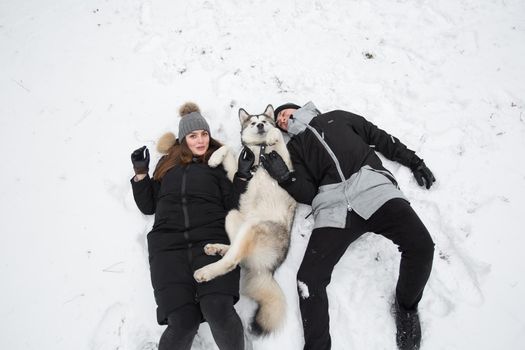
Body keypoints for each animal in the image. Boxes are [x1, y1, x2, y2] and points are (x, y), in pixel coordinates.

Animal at [193, 104, 298, 336]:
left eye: (264, 121)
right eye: (252, 122)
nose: (260, 126)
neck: (259, 155)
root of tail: (268, 270)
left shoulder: (284, 160)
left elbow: (278, 138)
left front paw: (272, 136)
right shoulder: (240, 172)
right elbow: (229, 151)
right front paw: (214, 158)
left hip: (253, 226)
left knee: (232, 262)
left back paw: (206, 271)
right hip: (233, 215)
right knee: (236, 254)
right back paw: (217, 249)